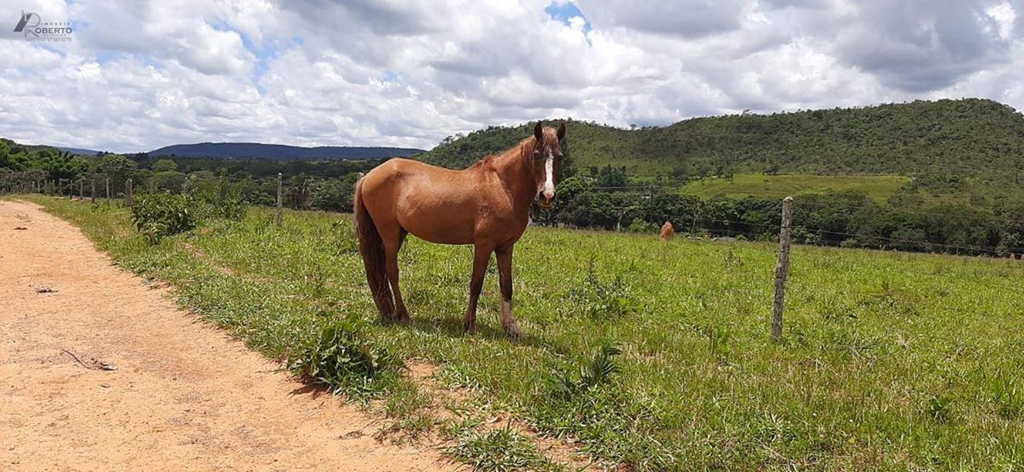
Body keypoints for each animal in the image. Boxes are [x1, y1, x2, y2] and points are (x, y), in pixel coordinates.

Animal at [350, 121, 561, 335]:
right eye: (536, 154)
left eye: (559, 156)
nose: (547, 195)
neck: (503, 186)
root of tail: (368, 176)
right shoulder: (484, 245)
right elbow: (476, 283)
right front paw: (470, 324)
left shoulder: (505, 247)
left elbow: (506, 285)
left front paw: (510, 327)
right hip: (390, 234)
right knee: (392, 271)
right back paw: (404, 316)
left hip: (398, 234)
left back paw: (390, 312)